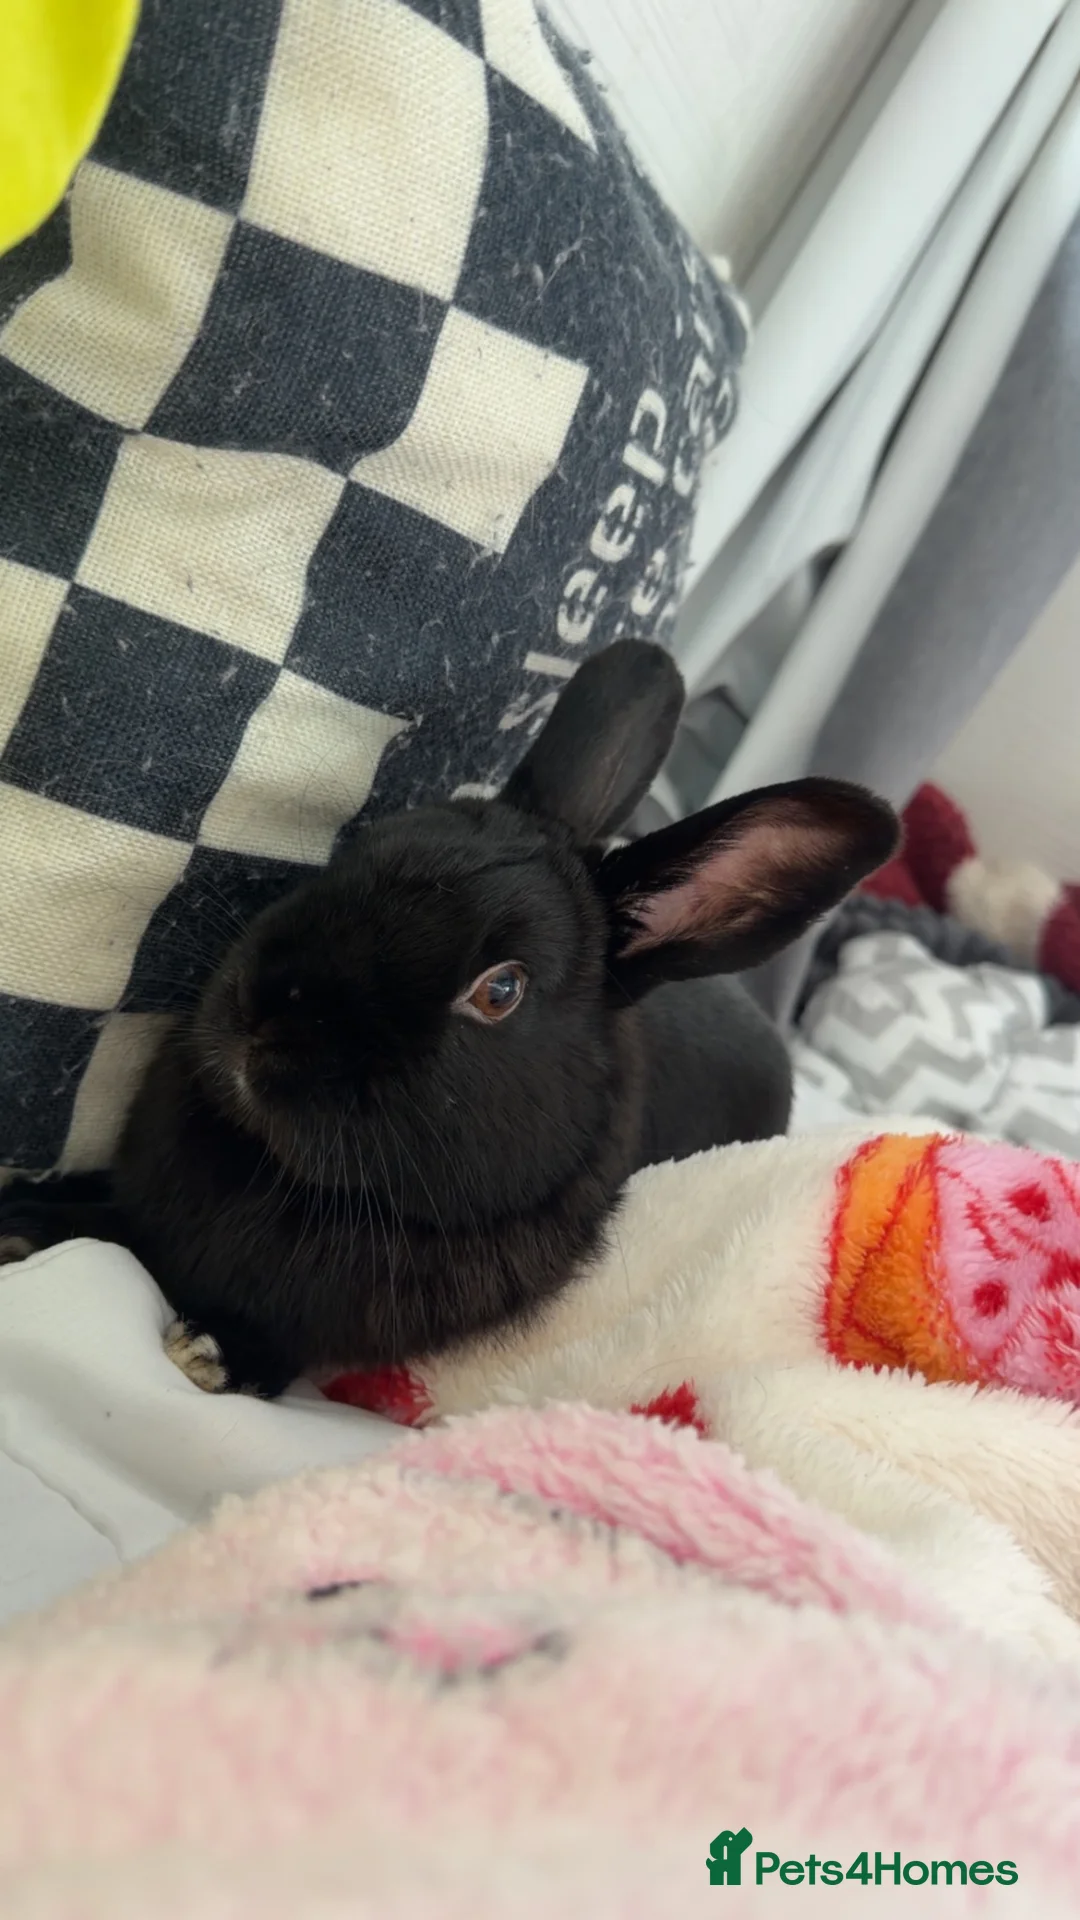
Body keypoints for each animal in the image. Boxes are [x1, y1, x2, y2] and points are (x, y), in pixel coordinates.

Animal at [0, 640, 898, 1395]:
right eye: (367, 846)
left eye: (500, 992)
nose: (258, 1019)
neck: (272, 1172)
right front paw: (27, 1220)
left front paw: (213, 1351)